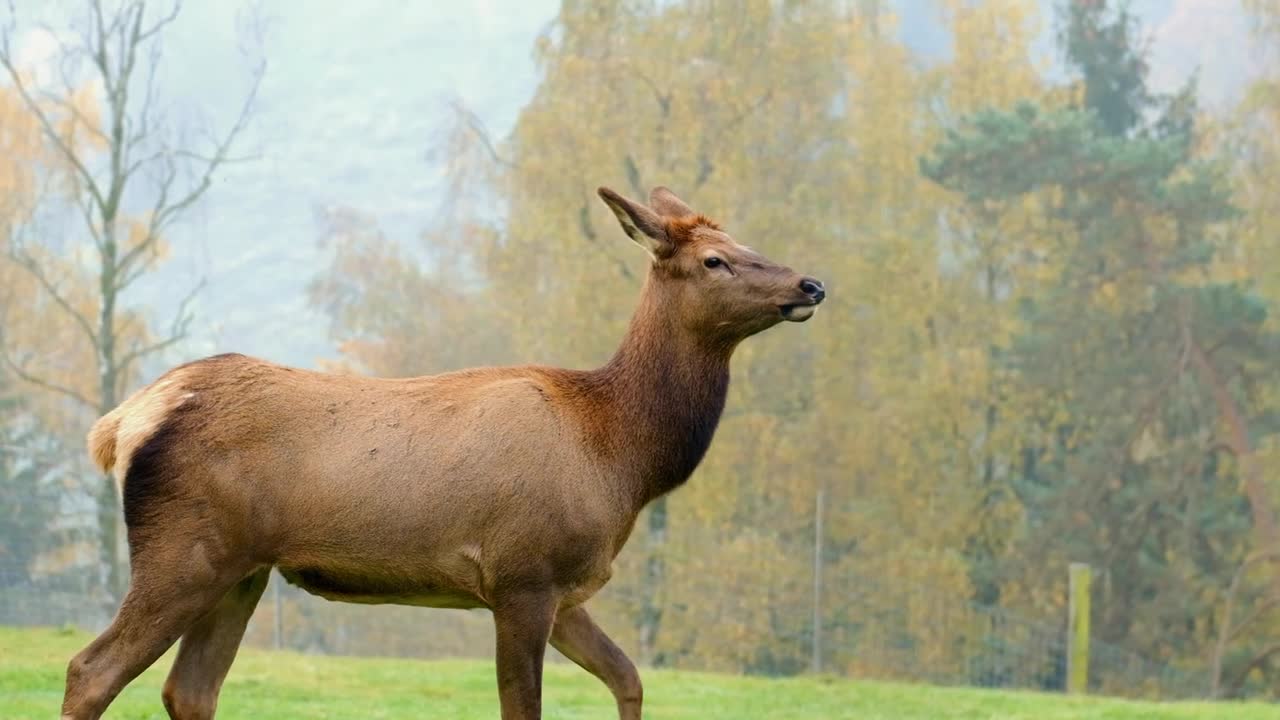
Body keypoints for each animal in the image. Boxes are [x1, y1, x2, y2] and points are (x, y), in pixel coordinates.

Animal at [64, 181, 829, 712]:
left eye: (744, 243)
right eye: (716, 259)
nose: (811, 282)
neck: (622, 457)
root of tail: (125, 421)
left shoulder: (566, 590)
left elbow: (630, 678)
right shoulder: (522, 574)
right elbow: (524, 707)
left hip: (241, 570)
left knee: (189, 691)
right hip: (184, 552)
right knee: (90, 670)